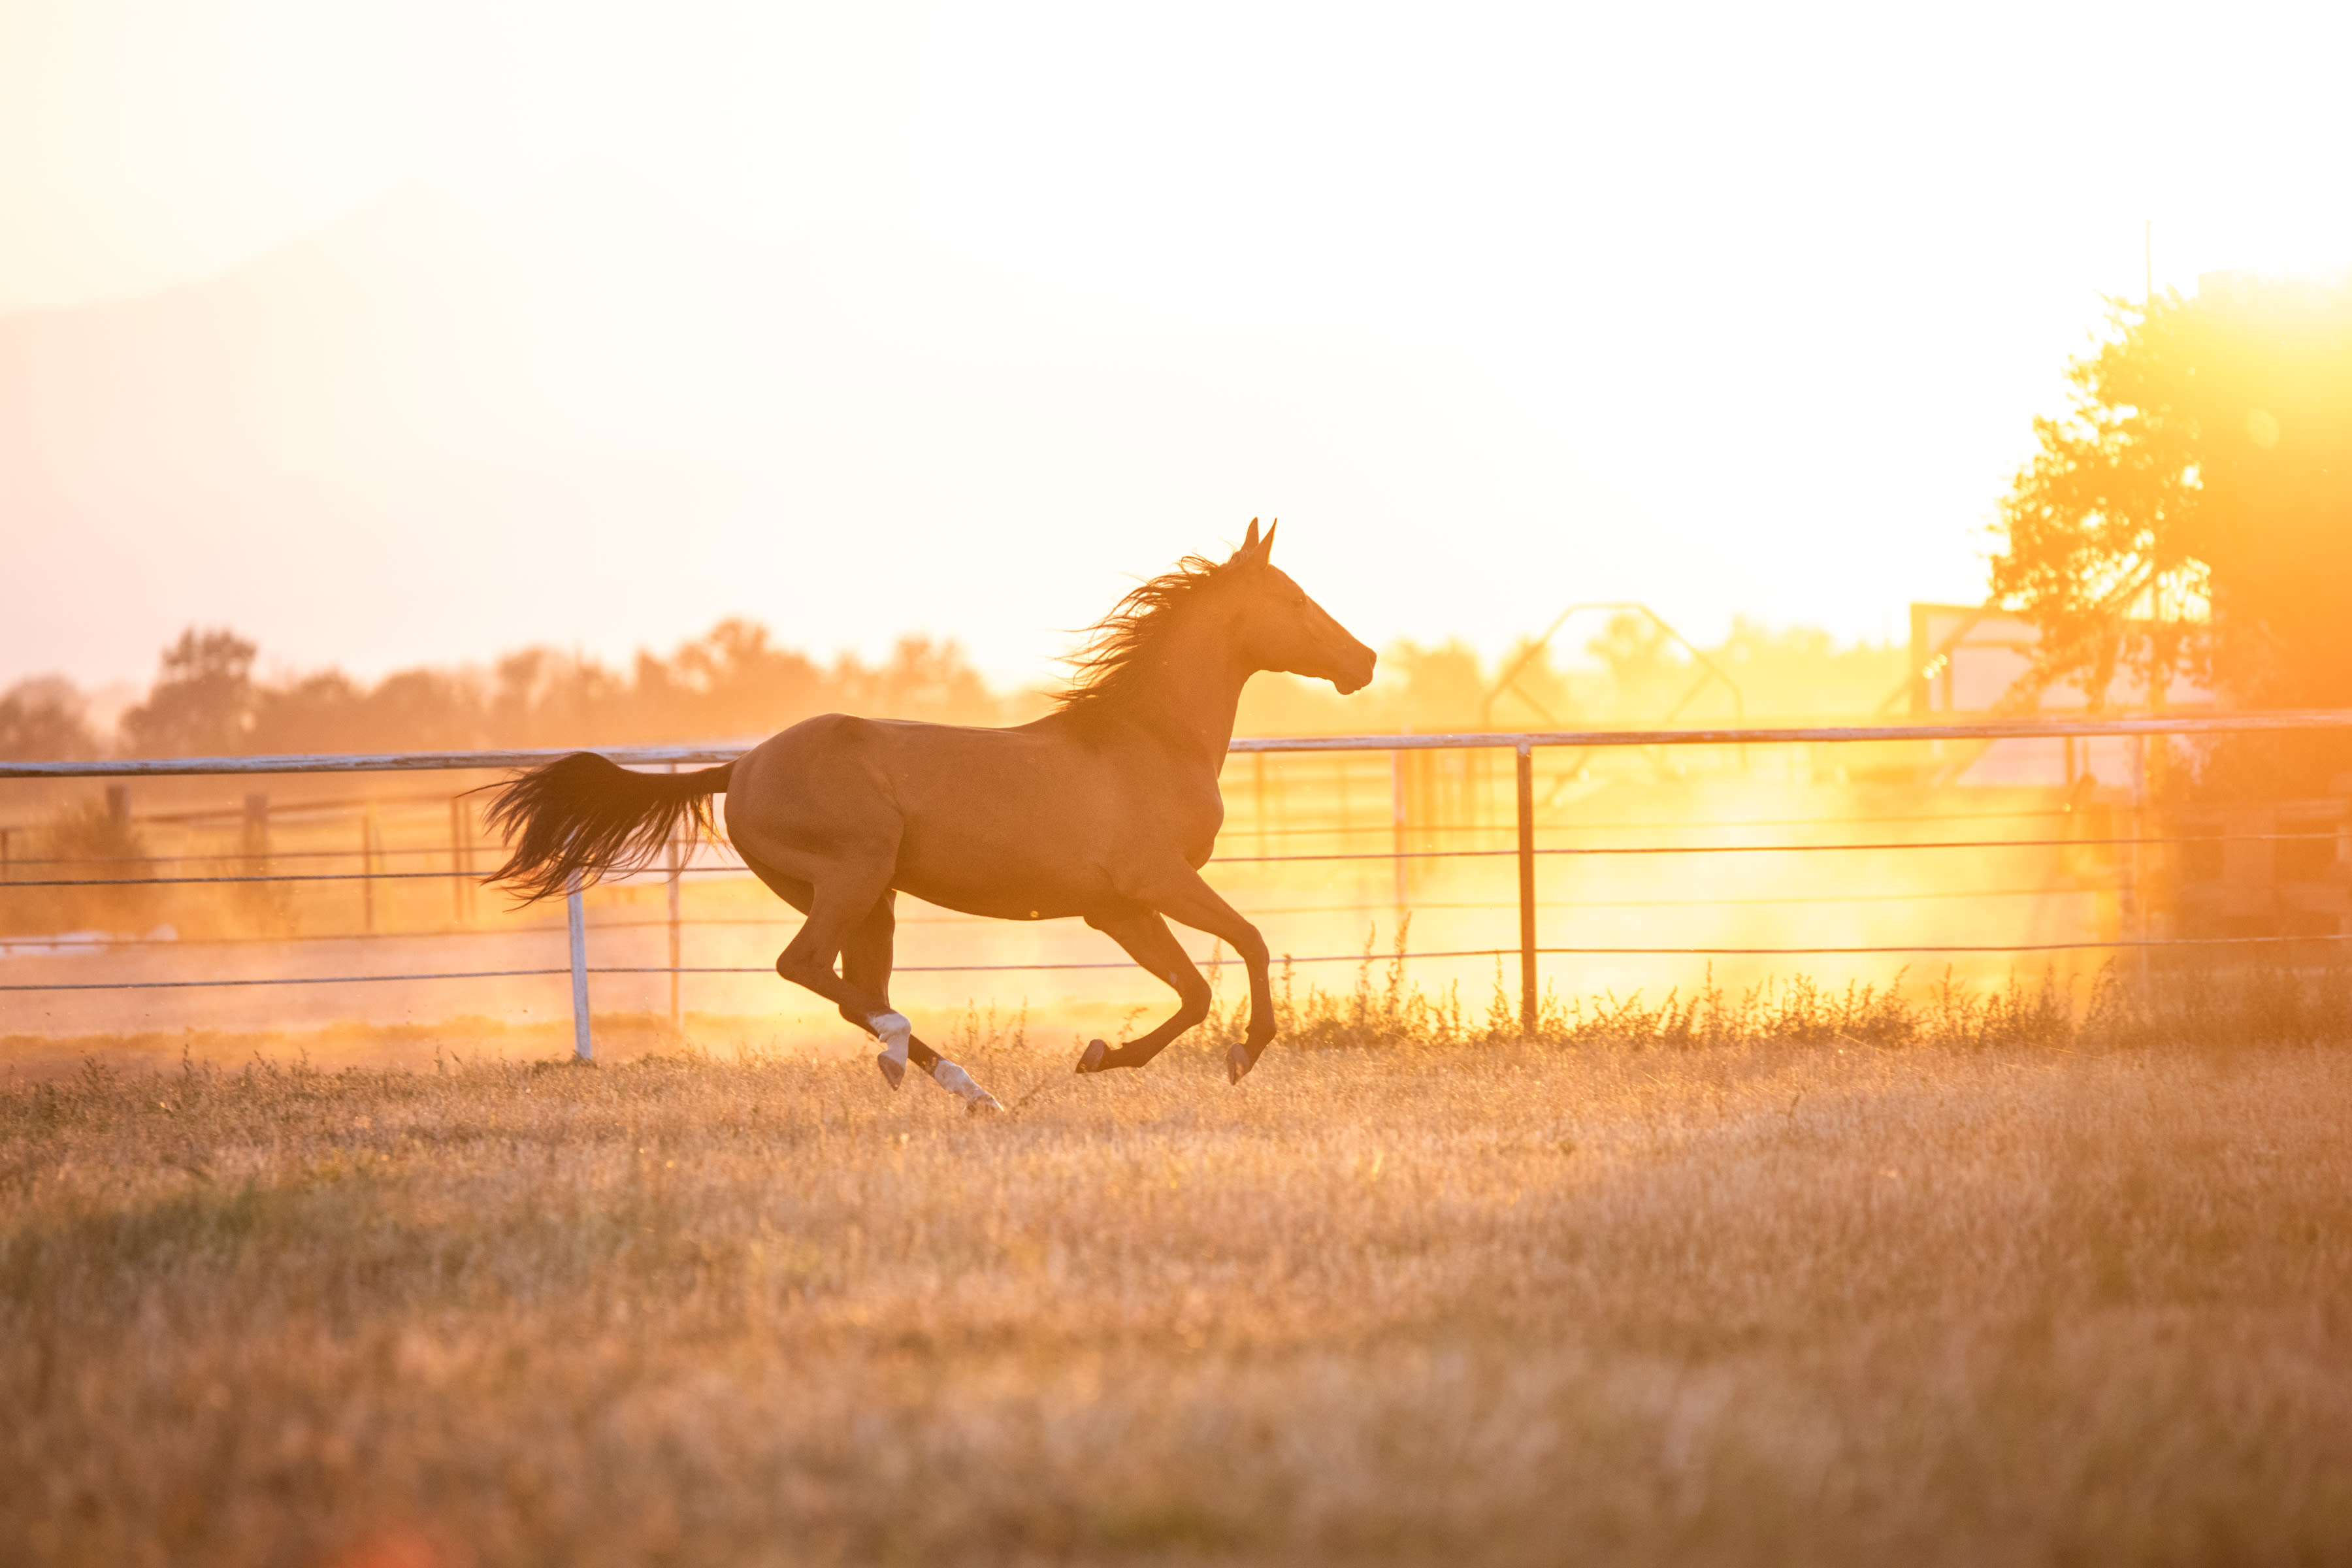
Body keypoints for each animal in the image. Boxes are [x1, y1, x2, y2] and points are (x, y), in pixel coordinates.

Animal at [481, 519, 1375, 1110]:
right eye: (1295, 597)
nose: (1363, 661)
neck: (1145, 740)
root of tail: (743, 766)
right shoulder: (1156, 883)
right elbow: (1246, 947)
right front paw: (1237, 1055)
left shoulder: (1117, 908)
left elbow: (1193, 990)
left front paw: (1100, 1056)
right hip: (854, 876)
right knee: (811, 970)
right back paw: (916, 1052)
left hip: (872, 900)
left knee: (849, 987)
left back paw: (957, 1082)